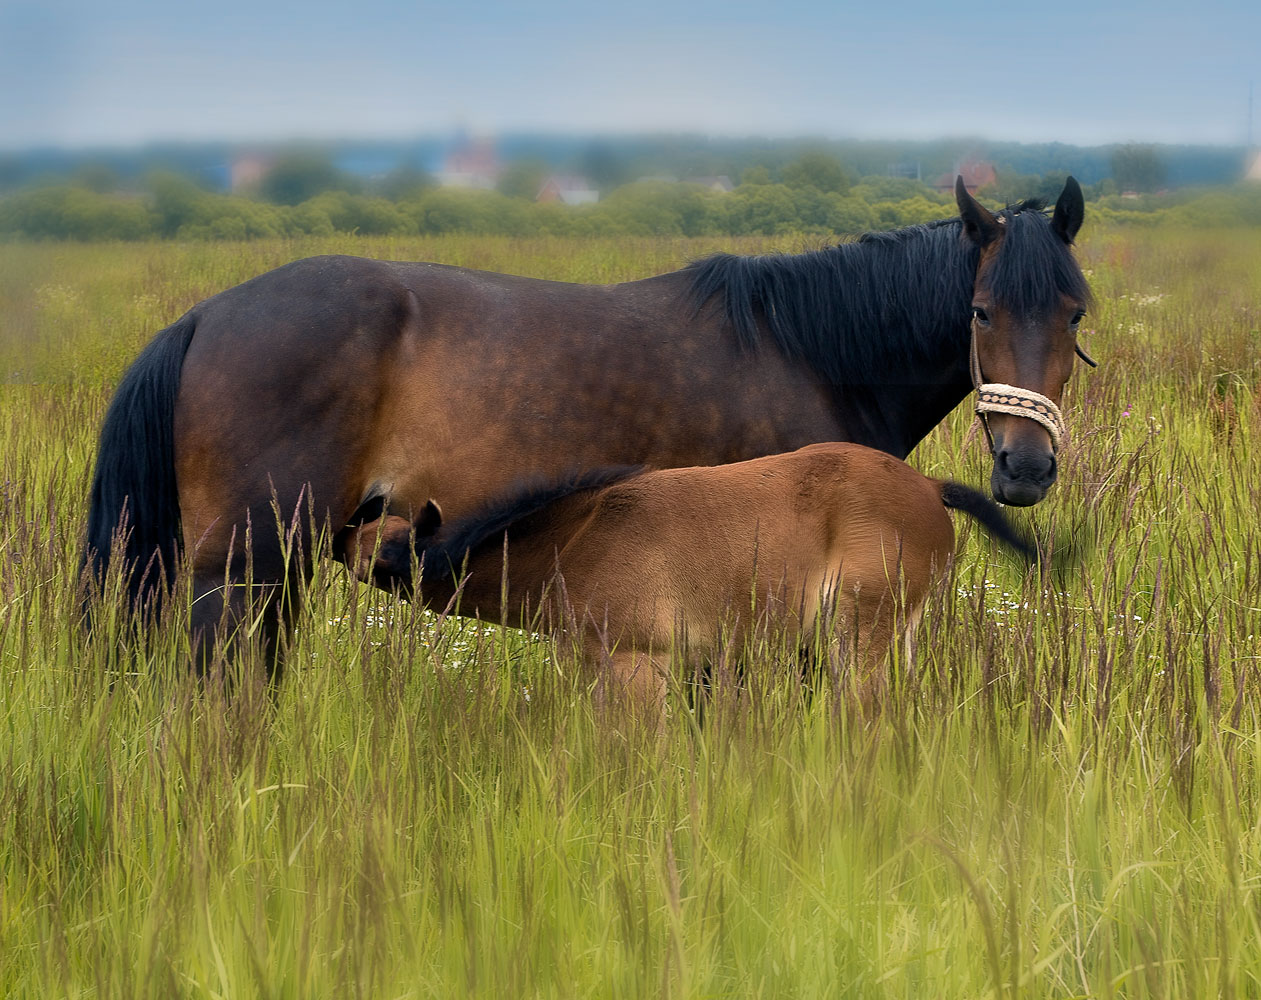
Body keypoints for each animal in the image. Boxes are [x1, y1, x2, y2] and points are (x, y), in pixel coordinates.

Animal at [86, 175, 1094, 675]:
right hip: (239, 573)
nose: (1024, 469)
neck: (805, 347)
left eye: (1075, 312)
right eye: (979, 312)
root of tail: (206, 317)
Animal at [332, 443, 1034, 711]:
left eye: (391, 551)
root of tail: (931, 487)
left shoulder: (639, 665)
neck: (579, 536)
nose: (344, 556)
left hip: (857, 639)